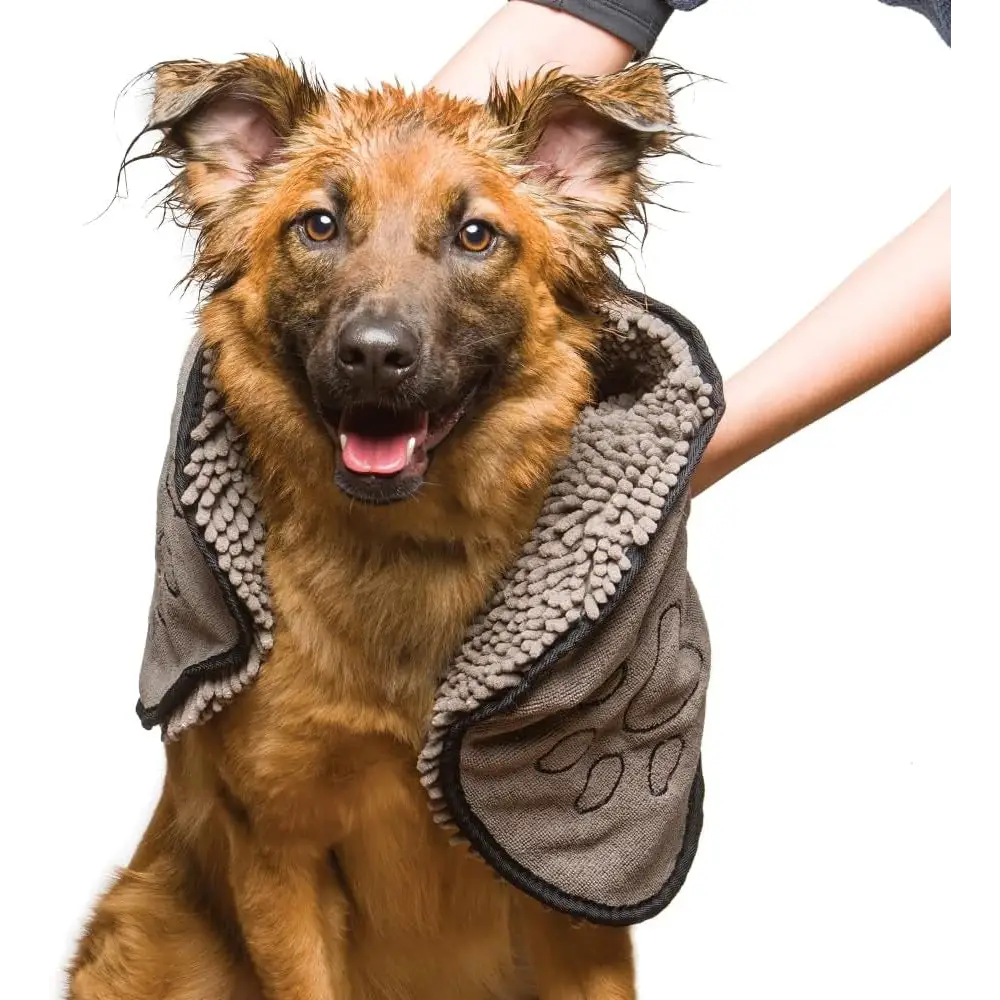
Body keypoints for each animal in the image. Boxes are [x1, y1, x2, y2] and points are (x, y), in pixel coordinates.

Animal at [68, 54, 680, 1000]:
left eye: (475, 235)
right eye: (319, 225)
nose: (375, 354)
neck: (403, 548)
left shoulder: (572, 898)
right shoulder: (280, 849)